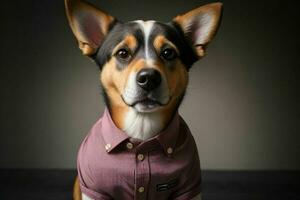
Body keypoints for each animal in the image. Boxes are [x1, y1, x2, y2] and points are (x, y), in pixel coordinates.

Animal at [64, 0, 221, 199]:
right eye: (123, 53)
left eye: (168, 53)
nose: (149, 78)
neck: (141, 126)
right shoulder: (93, 187)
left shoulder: (189, 186)